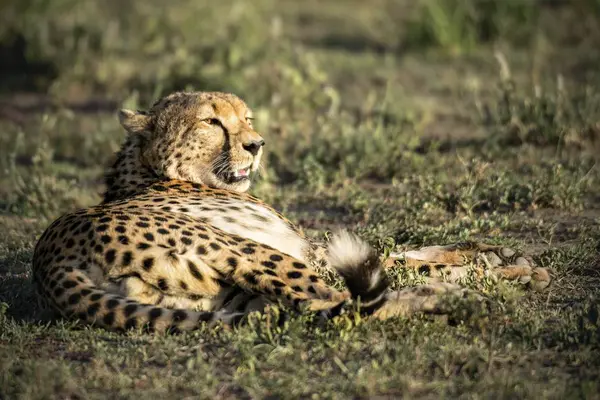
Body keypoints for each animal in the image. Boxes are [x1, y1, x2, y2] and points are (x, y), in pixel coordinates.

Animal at [31, 92, 548, 332]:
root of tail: (48, 260)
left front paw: (498, 256)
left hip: (223, 298)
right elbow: (403, 260)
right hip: (249, 251)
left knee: (317, 308)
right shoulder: (311, 251)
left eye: (247, 118)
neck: (152, 170)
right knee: (345, 305)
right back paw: (455, 302)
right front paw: (503, 270)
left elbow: (410, 252)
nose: (256, 145)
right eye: (211, 121)